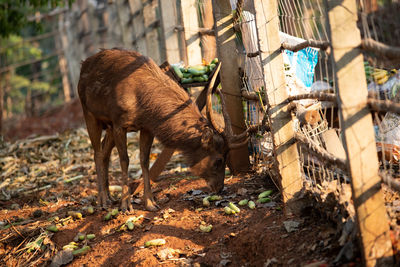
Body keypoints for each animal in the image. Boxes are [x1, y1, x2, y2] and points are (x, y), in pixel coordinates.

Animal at [77, 48, 248, 211]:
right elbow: (124, 160)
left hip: (108, 125)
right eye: (219, 160)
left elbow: (144, 160)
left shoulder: (146, 127)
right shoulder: (119, 122)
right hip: (88, 112)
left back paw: (110, 197)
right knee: (97, 153)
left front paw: (150, 202)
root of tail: (84, 64)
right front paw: (125, 205)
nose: (220, 188)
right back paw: (103, 200)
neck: (144, 105)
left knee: (104, 152)